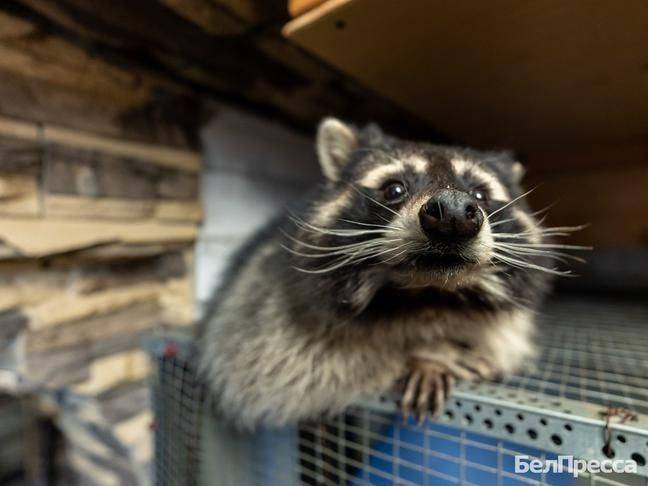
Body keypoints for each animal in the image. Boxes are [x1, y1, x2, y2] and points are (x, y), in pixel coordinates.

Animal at [197, 117, 576, 430]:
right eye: (395, 189)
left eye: (480, 193)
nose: (454, 213)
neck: (429, 292)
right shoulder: (263, 296)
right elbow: (292, 362)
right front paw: (426, 353)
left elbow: (505, 339)